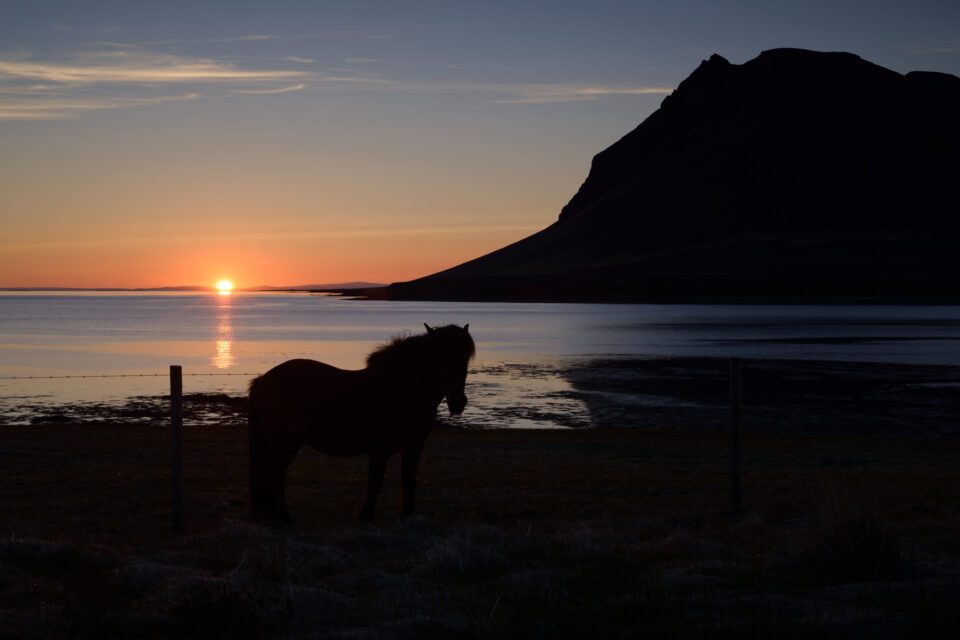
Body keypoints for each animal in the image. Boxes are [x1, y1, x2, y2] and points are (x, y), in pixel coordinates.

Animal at [248, 323, 474, 524]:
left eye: (465, 357)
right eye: (437, 356)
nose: (457, 402)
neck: (400, 388)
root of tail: (263, 380)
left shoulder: (413, 448)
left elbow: (408, 481)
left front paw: (406, 516)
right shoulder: (381, 449)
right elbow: (375, 482)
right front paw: (366, 516)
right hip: (284, 443)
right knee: (275, 475)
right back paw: (284, 518)